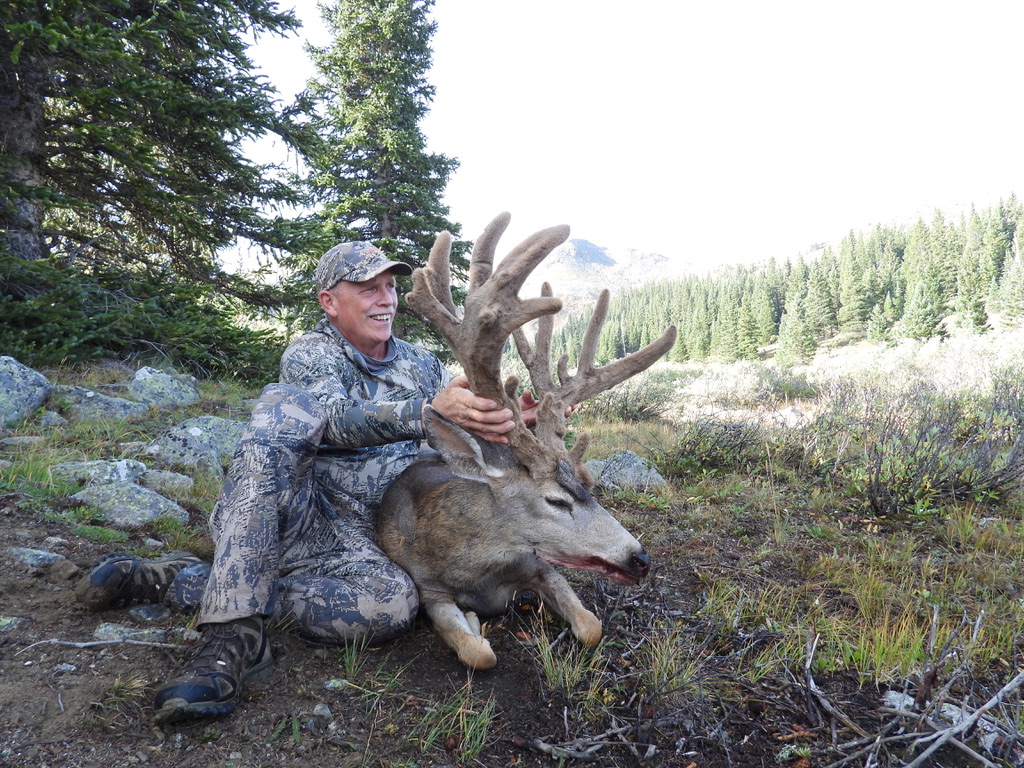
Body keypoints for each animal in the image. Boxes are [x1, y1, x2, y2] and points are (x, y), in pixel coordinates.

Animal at [376, 212, 677, 670]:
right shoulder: (428, 589)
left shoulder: (540, 565)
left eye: (588, 488)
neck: (475, 567)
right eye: (556, 500)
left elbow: (590, 626)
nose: (639, 559)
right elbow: (476, 653)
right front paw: (472, 624)